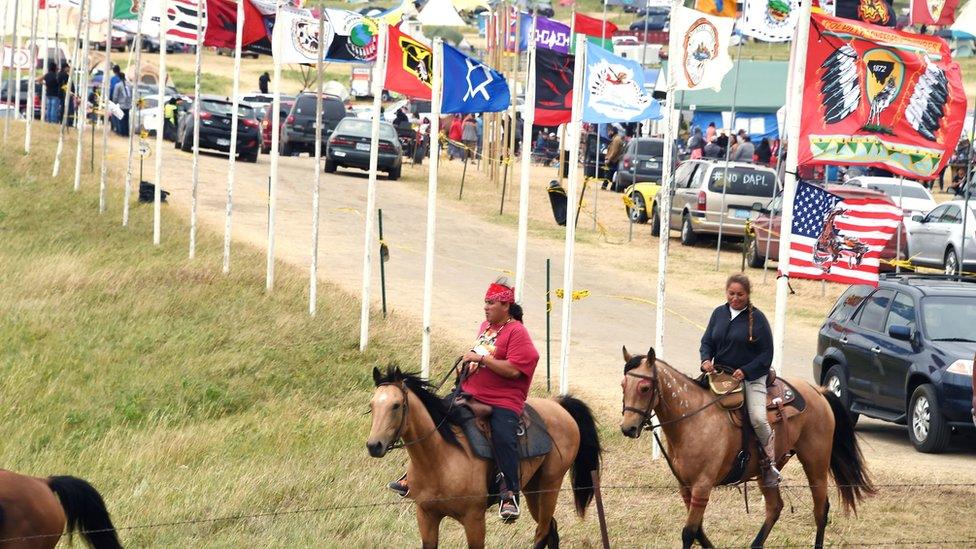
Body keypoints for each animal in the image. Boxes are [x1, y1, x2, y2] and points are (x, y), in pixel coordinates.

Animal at [364, 364, 600, 548]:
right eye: (372, 405)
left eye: (396, 405)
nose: (374, 446)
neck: (440, 459)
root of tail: (559, 405)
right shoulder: (426, 516)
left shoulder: (474, 521)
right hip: (533, 489)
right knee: (551, 528)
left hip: (550, 486)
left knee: (542, 532)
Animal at [616, 346, 876, 548]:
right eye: (623, 384)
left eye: (644, 388)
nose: (628, 428)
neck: (693, 419)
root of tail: (818, 391)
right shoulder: (685, 486)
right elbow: (698, 530)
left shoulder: (703, 485)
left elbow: (689, 532)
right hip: (766, 471)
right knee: (775, 507)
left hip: (816, 462)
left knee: (820, 510)